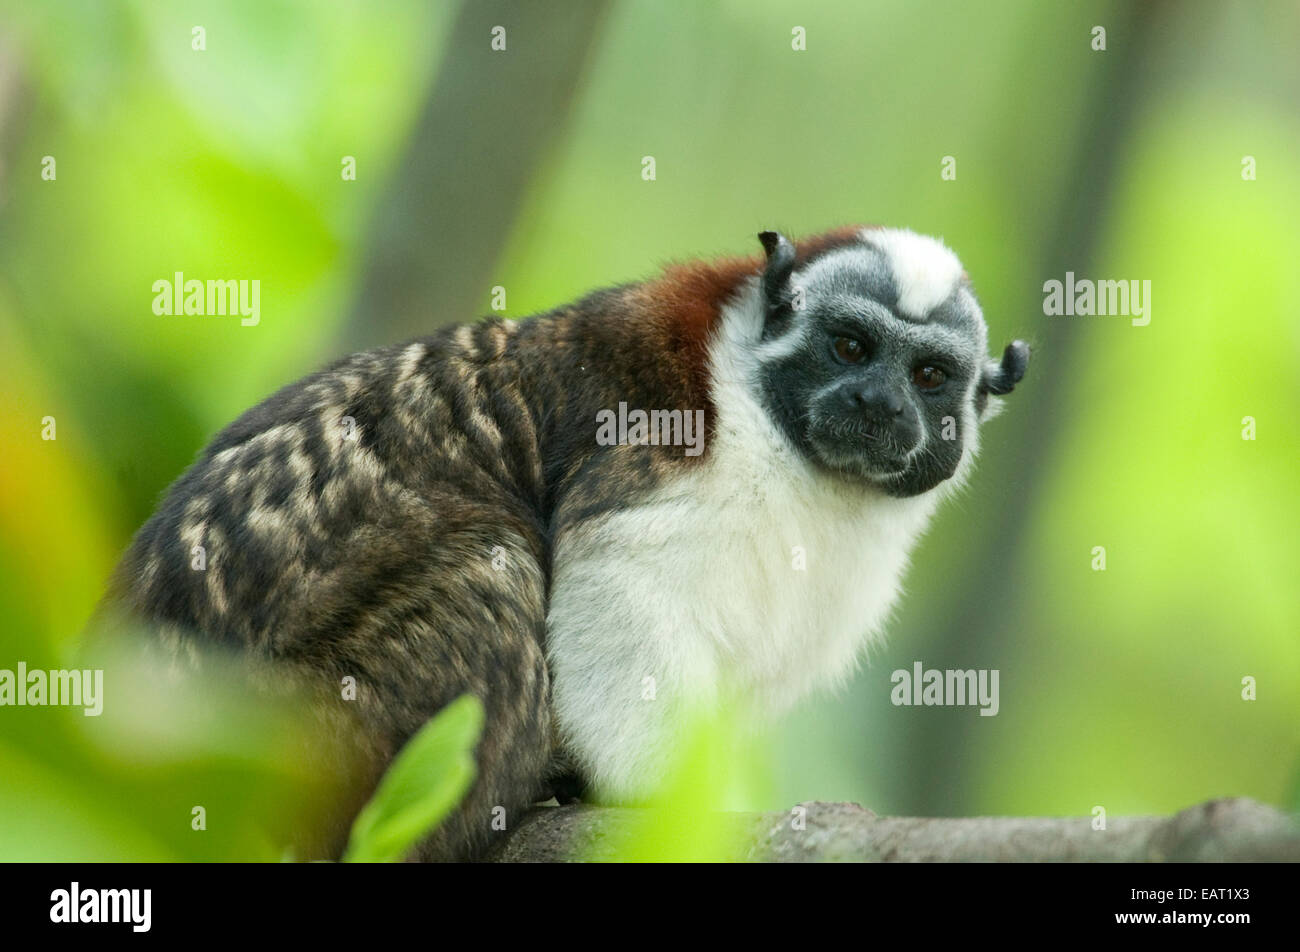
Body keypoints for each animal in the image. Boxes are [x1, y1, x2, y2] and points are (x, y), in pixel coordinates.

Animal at [98, 226, 1024, 858]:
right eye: (850, 347)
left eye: (929, 376)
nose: (876, 403)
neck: (789, 447)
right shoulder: (667, 453)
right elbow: (622, 586)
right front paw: (651, 802)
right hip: (308, 738)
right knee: (495, 570)